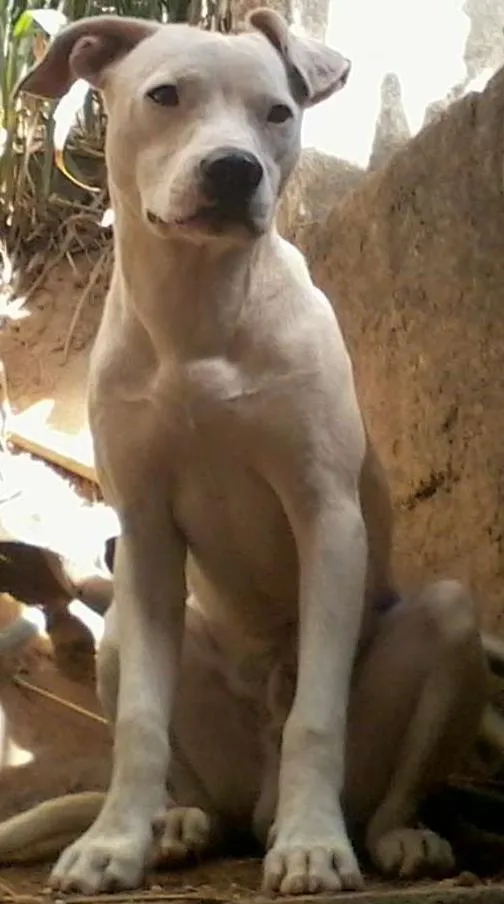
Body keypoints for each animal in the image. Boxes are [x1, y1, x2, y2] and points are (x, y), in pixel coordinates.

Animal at [7, 9, 487, 896]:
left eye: (278, 113)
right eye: (165, 95)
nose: (234, 170)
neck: (199, 317)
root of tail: (252, 800)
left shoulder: (327, 518)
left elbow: (316, 717)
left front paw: (312, 845)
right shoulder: (145, 529)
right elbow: (141, 723)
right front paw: (112, 843)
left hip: (450, 619)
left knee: (389, 790)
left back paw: (396, 837)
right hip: (124, 636)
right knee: (191, 779)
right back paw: (175, 825)